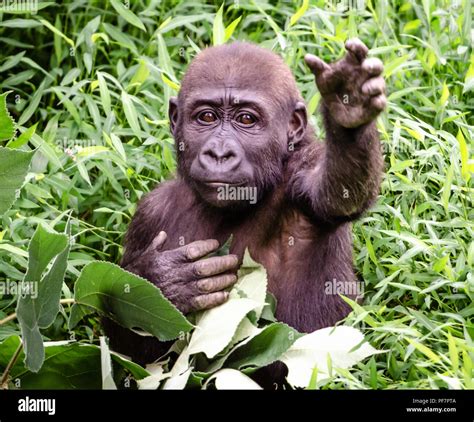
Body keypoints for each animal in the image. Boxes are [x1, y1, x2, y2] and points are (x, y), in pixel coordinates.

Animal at [103, 38, 386, 366]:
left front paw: (349, 104)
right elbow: (136, 348)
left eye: (246, 119)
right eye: (207, 117)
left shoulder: (302, 174)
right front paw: (163, 279)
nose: (219, 153)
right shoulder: (148, 214)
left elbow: (338, 191)